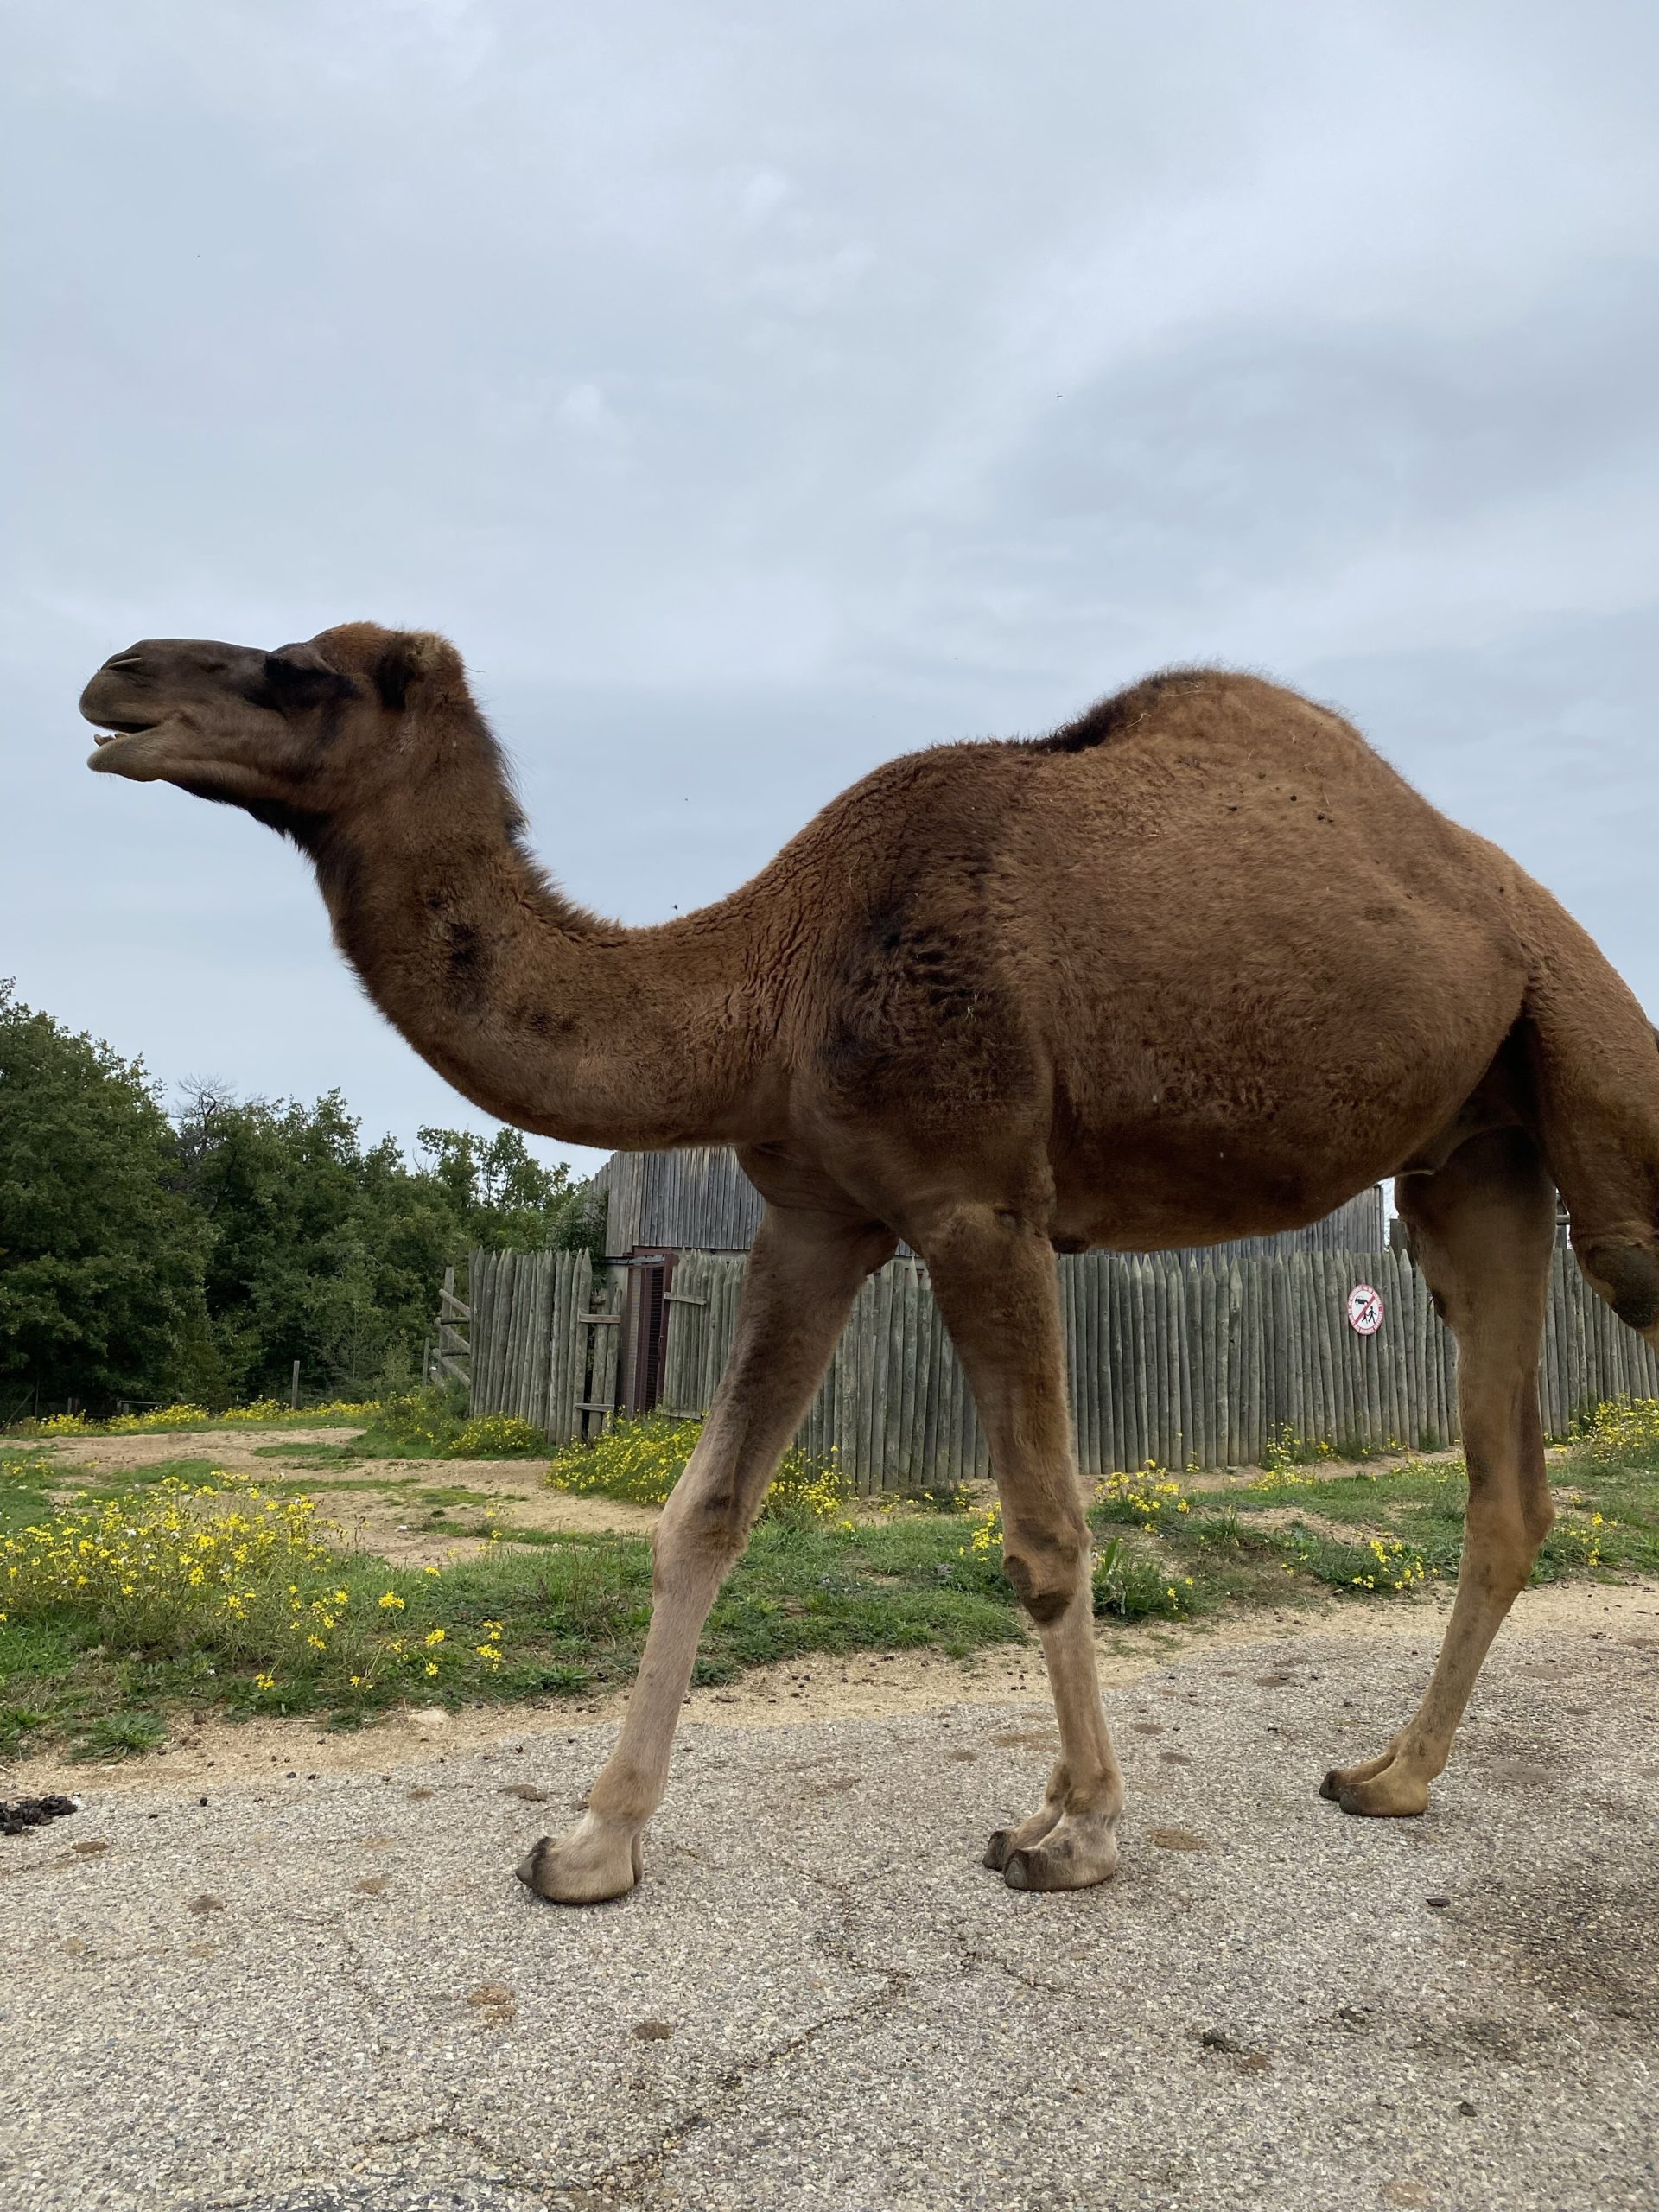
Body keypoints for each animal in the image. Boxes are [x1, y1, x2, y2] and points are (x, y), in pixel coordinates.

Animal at [78, 619, 1659, 1902]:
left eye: (300, 671)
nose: (117, 678)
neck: (772, 978)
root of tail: (1512, 896)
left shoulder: (976, 1200)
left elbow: (1045, 1532)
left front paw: (1077, 1834)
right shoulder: (815, 1217)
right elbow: (703, 1516)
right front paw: (591, 1845)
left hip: (1595, 1076)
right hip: (1472, 1158)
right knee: (1507, 1485)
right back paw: (1389, 1776)